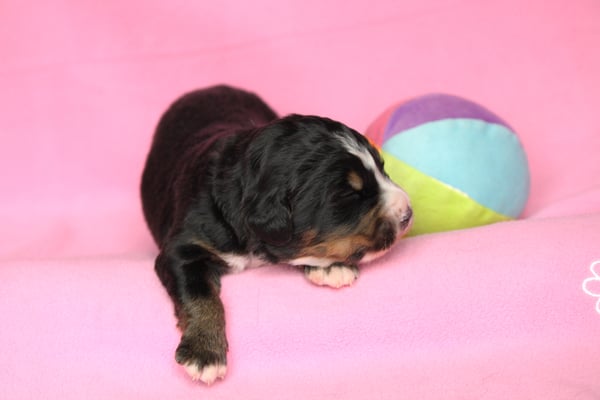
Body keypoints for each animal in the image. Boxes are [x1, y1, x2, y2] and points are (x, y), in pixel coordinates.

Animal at [141, 85, 413, 385]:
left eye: (383, 168)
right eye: (350, 195)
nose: (408, 213)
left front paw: (331, 267)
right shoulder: (181, 251)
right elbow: (200, 295)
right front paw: (204, 352)